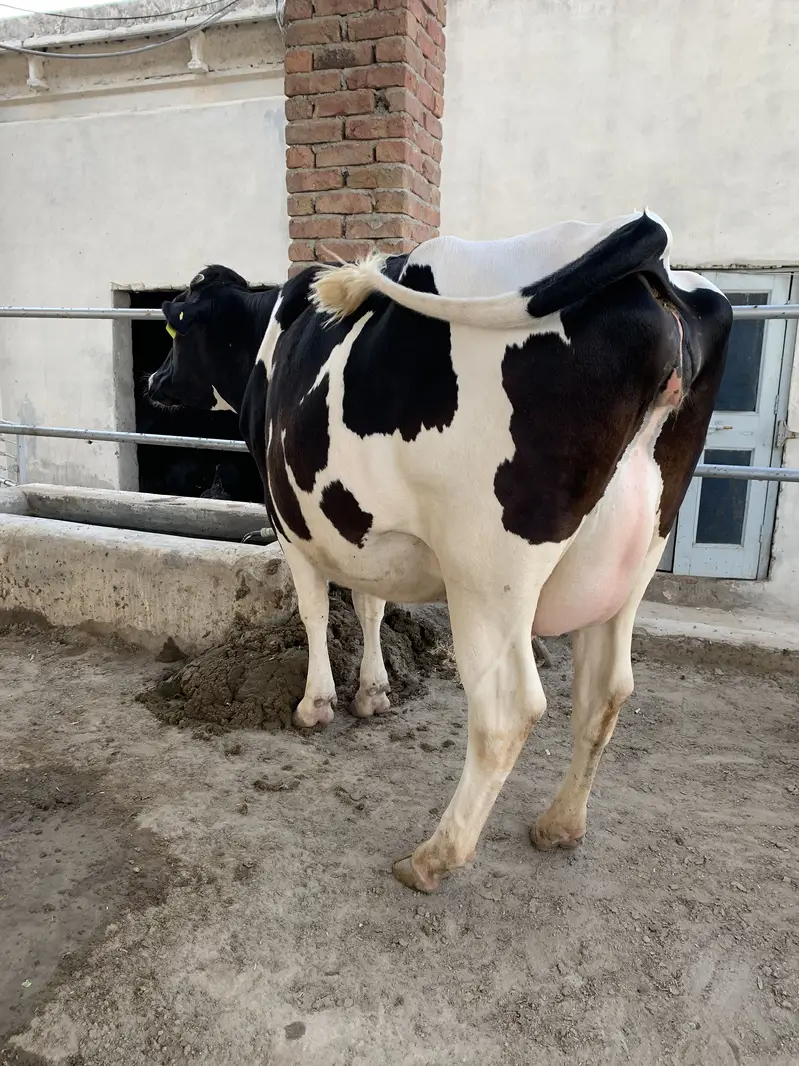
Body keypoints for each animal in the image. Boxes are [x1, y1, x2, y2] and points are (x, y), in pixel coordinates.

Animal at [148, 212, 732, 893]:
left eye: (174, 327)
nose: (153, 381)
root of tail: (650, 257)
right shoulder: (356, 524)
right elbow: (371, 604)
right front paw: (373, 693)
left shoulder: (290, 520)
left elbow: (315, 612)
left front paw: (316, 704)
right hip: (631, 563)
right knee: (605, 691)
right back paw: (559, 824)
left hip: (489, 572)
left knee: (507, 708)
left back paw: (436, 854)